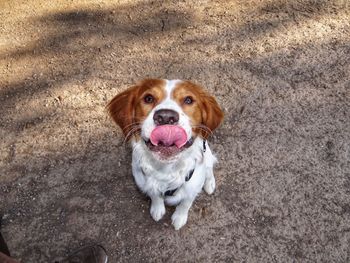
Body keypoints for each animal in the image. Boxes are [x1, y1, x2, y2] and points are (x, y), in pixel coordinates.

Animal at [107, 79, 224, 230]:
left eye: (188, 100)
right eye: (148, 98)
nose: (166, 117)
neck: (166, 169)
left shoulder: (192, 188)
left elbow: (185, 203)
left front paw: (179, 217)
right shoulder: (145, 181)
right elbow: (155, 195)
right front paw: (157, 209)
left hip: (207, 156)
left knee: (209, 169)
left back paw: (209, 184)